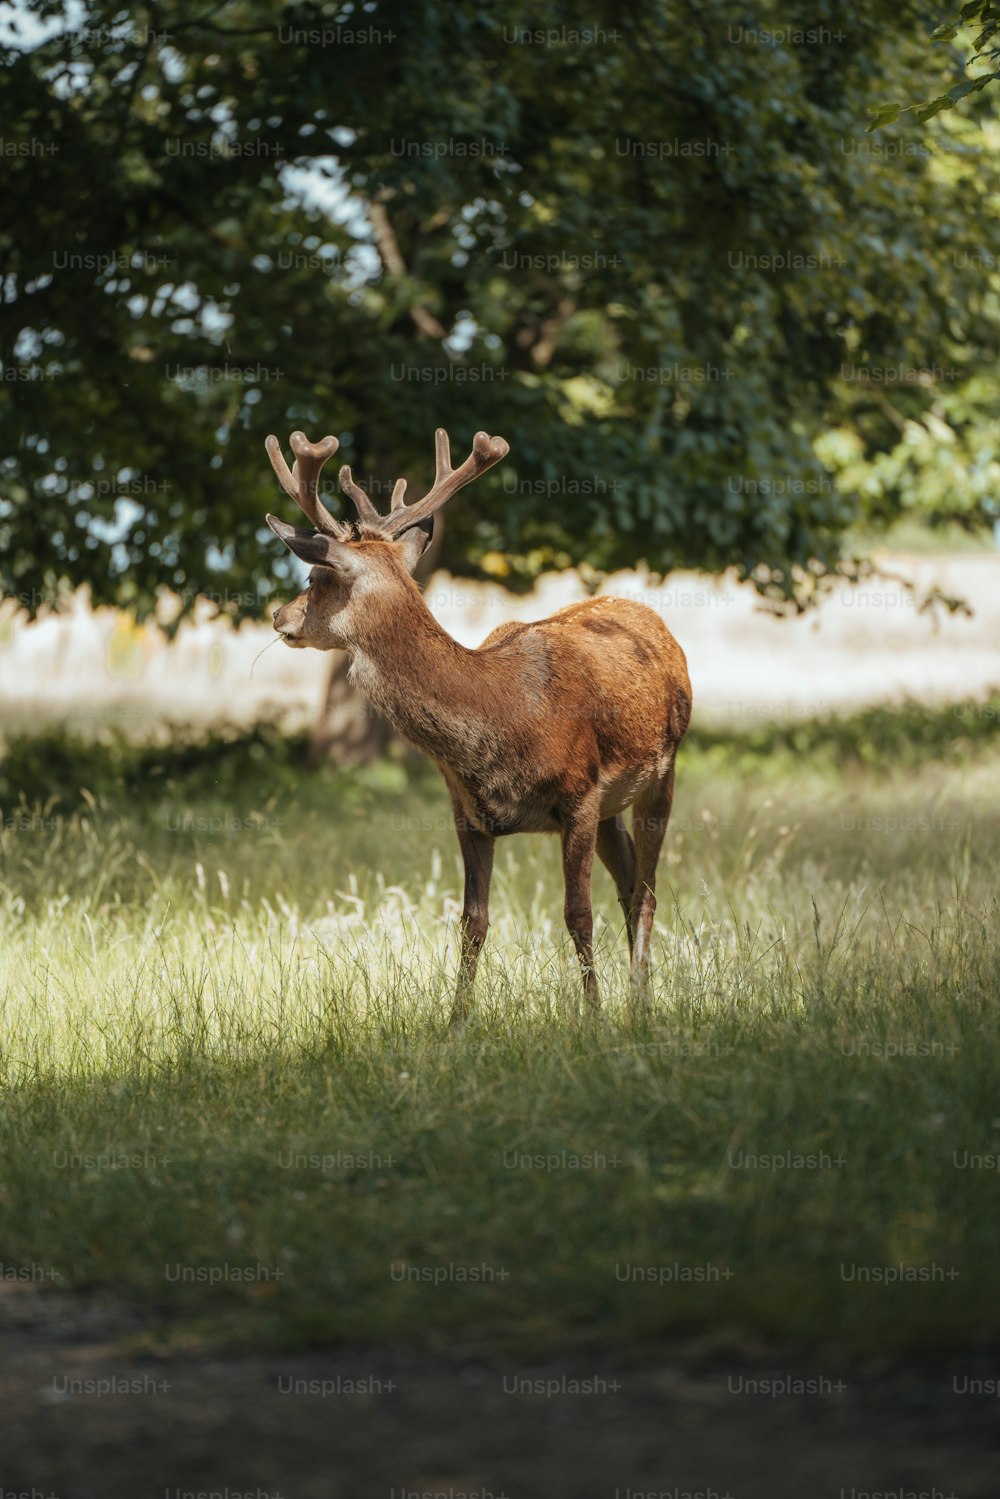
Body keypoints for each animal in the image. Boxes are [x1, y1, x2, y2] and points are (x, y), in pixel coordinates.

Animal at [262, 428, 692, 1025]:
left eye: (315, 575)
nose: (279, 615)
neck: (502, 719)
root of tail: (651, 616)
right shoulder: (467, 810)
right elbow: (473, 921)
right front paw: (455, 1024)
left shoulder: (580, 795)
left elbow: (577, 913)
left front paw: (594, 1018)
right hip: (613, 806)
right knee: (631, 888)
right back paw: (642, 997)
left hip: (661, 771)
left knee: (646, 892)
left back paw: (636, 1005)